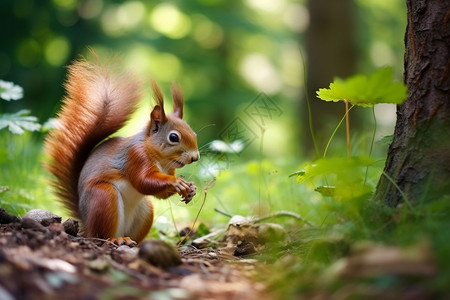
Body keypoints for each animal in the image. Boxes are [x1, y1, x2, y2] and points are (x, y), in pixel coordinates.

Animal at [44, 56, 199, 246]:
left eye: (193, 132)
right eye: (174, 137)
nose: (195, 157)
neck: (160, 159)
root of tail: (85, 222)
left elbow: (159, 193)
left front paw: (191, 188)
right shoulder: (136, 156)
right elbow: (143, 181)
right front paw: (177, 182)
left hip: (145, 210)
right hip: (103, 197)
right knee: (100, 234)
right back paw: (116, 239)